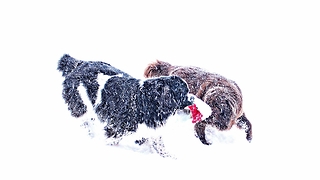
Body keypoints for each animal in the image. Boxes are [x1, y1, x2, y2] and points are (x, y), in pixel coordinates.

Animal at [57, 54, 209, 158]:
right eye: (184, 92)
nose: (193, 98)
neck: (145, 100)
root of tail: (78, 64)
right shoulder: (116, 127)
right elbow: (112, 138)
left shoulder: (152, 128)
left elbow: (159, 145)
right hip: (80, 106)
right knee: (85, 122)